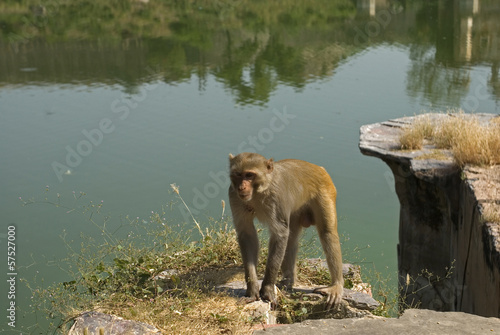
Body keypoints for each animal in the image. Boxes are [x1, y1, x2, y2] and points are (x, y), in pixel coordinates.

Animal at [228, 152, 342, 310]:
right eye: (238, 175)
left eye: (249, 175)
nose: (241, 187)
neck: (260, 191)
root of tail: (318, 168)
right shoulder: (234, 196)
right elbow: (247, 235)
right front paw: (252, 290)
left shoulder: (276, 198)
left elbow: (280, 234)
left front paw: (267, 289)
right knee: (292, 239)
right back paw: (288, 282)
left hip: (326, 190)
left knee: (328, 233)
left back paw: (336, 285)